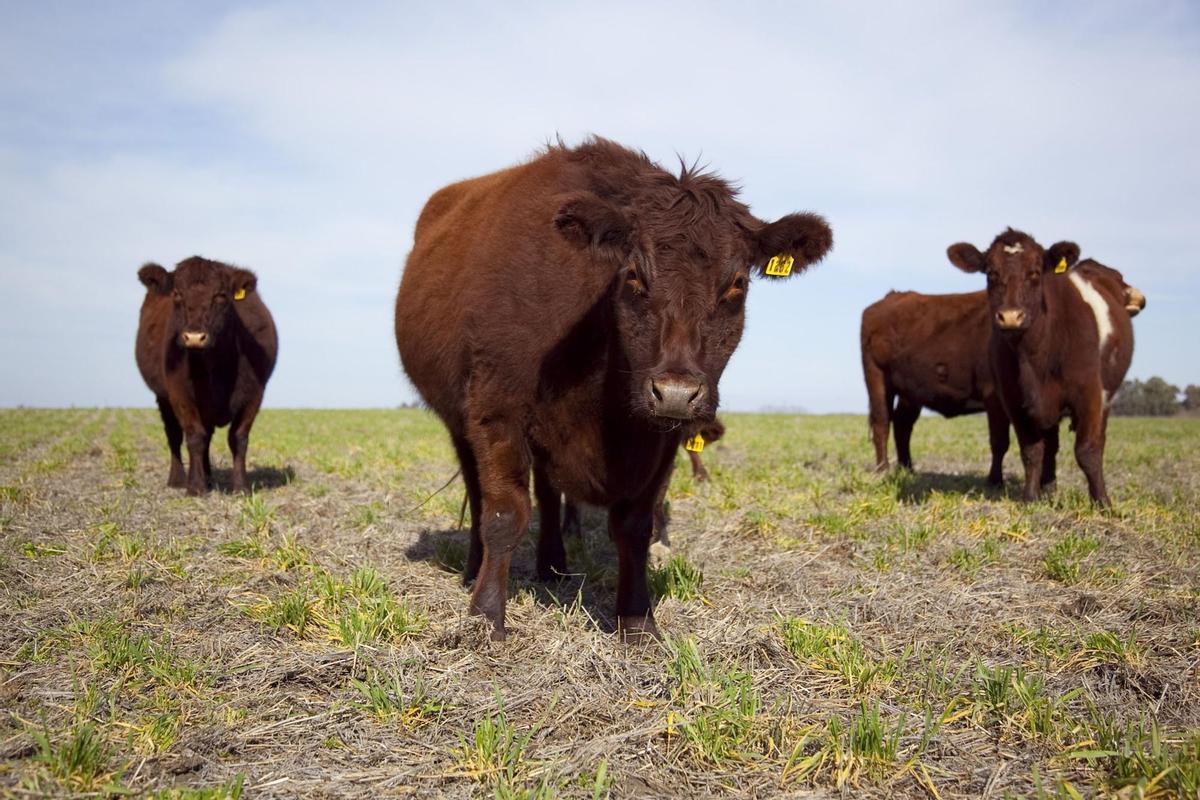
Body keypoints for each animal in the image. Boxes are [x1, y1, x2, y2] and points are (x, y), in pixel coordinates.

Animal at [135, 256, 277, 494]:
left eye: (220, 295)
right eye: (177, 293)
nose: (194, 337)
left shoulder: (255, 393)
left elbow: (238, 438)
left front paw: (241, 486)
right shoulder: (179, 394)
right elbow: (194, 436)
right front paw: (195, 487)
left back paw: (208, 476)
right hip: (163, 397)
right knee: (174, 435)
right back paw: (178, 479)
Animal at [398, 136, 830, 638]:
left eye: (736, 284)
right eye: (634, 275)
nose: (676, 391)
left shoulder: (660, 439)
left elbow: (634, 527)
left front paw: (637, 620)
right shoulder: (496, 409)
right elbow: (504, 514)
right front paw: (486, 617)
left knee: (548, 495)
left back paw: (553, 566)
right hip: (459, 420)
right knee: (478, 488)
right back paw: (474, 569)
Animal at [864, 261, 1142, 482]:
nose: (1137, 297)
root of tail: (891, 298)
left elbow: (1048, 444)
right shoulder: (996, 396)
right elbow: (1000, 442)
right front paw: (995, 480)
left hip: (910, 390)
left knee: (903, 424)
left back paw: (907, 469)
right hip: (877, 378)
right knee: (882, 422)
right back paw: (882, 469)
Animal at [945, 230, 1132, 506]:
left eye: (1034, 272)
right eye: (990, 272)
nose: (1011, 317)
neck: (1035, 357)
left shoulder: (1090, 394)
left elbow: (1087, 450)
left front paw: (1102, 502)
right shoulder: (1014, 399)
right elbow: (1032, 450)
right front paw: (1030, 497)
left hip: (1106, 396)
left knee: (1096, 440)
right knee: (1051, 445)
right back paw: (1048, 487)